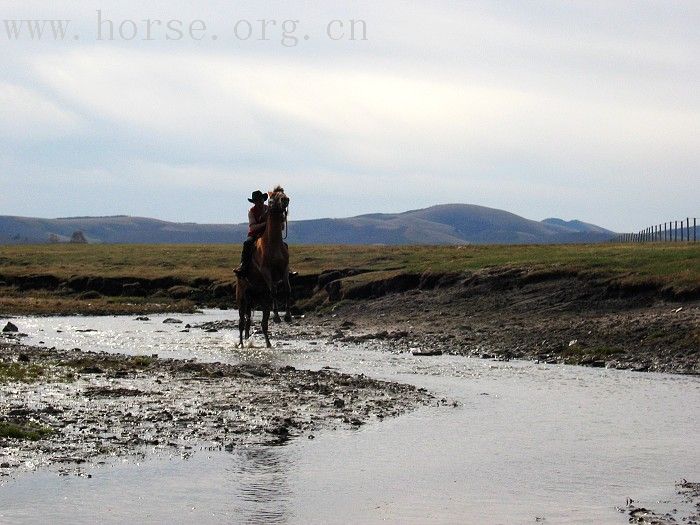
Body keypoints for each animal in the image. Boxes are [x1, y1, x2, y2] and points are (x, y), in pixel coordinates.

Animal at [235, 186, 290, 346]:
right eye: (272, 197)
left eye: (284, 193)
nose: (286, 200)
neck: (273, 244)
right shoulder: (266, 271)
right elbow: (273, 291)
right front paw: (277, 316)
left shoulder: (284, 269)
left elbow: (287, 289)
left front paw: (288, 316)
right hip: (241, 299)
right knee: (241, 323)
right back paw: (241, 344)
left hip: (255, 300)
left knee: (255, 323)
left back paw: (265, 343)